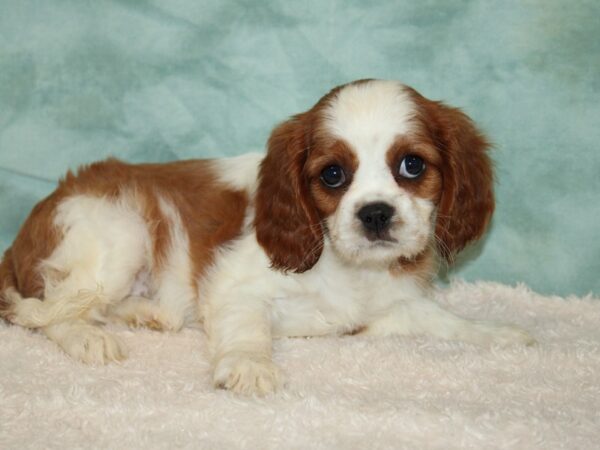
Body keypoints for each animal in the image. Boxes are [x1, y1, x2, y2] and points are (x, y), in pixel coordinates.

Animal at [1, 80, 536, 394]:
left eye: (412, 166)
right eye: (333, 175)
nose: (375, 214)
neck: (343, 263)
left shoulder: (390, 309)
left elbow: (442, 321)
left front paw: (499, 334)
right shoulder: (232, 286)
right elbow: (247, 328)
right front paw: (249, 366)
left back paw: (147, 314)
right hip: (119, 233)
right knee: (51, 309)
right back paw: (89, 338)